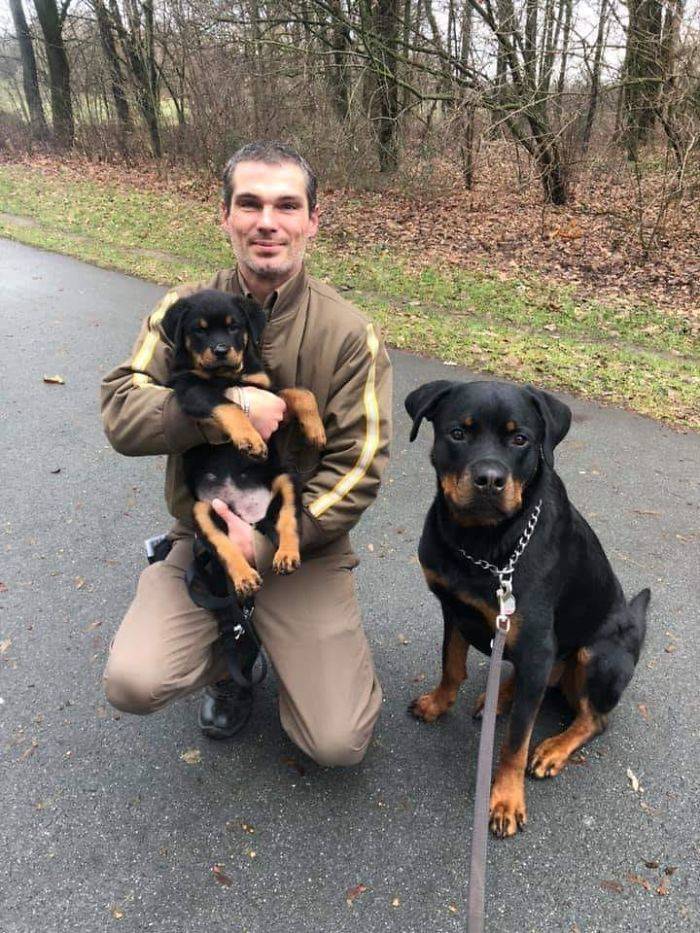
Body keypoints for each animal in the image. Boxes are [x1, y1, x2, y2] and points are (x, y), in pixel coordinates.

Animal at [163, 290, 326, 596]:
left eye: (234, 327)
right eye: (199, 330)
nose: (220, 350)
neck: (227, 376)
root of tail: (251, 516)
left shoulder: (268, 392)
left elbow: (300, 392)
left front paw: (316, 430)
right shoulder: (191, 389)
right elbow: (229, 405)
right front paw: (250, 439)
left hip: (287, 479)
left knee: (288, 520)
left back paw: (287, 556)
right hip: (202, 509)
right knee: (224, 545)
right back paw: (244, 577)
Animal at [404, 378, 652, 836]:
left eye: (520, 439)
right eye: (457, 433)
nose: (489, 479)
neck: (485, 544)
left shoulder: (538, 644)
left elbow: (516, 741)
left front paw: (505, 799)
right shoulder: (453, 608)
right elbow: (451, 665)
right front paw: (437, 703)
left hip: (598, 653)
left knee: (595, 718)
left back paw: (554, 747)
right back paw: (499, 696)